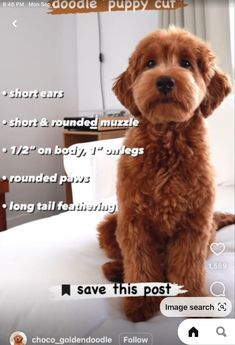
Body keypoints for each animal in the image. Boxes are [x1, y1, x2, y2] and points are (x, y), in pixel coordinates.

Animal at [97, 28, 233, 322]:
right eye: (150, 63)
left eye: (186, 63)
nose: (165, 81)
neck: (168, 140)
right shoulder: (133, 219)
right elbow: (139, 263)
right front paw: (141, 302)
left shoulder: (194, 222)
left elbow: (188, 266)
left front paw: (193, 301)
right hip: (110, 224)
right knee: (121, 256)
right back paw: (116, 271)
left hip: (209, 230)